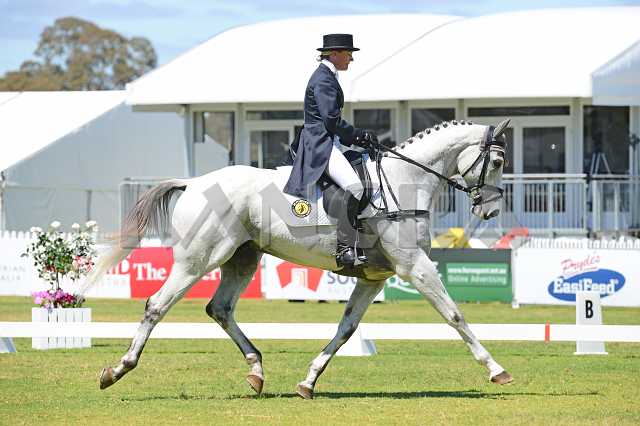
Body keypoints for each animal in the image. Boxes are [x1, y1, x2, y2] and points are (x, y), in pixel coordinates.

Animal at [83, 118, 513, 399]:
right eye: (497, 162)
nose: (490, 210)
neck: (403, 184)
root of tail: (193, 182)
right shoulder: (415, 266)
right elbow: (454, 315)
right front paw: (496, 370)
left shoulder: (372, 277)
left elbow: (346, 329)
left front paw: (309, 381)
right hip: (197, 260)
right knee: (157, 305)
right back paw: (116, 370)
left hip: (242, 259)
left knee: (219, 308)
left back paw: (256, 371)